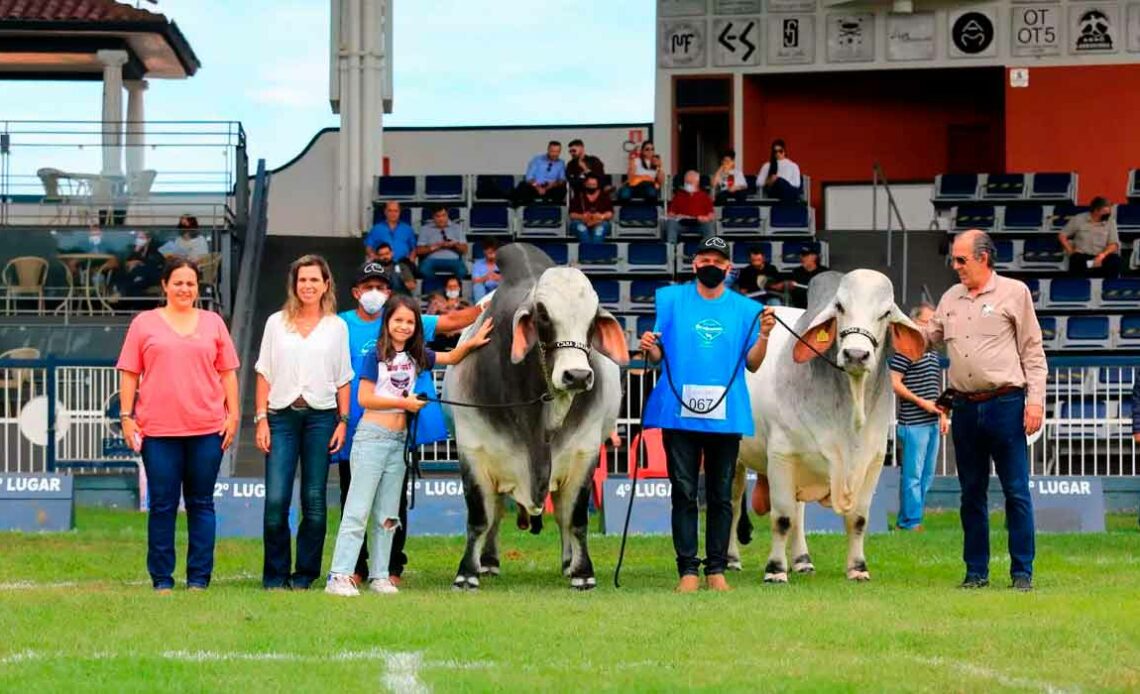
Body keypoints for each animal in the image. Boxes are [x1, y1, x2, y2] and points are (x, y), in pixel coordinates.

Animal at [442, 243, 624, 588]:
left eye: (593, 319)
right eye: (542, 315)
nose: (577, 376)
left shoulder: (584, 453)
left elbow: (574, 518)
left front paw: (582, 572)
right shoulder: (472, 450)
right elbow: (480, 517)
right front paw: (467, 572)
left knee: (562, 518)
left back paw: (567, 562)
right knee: (497, 512)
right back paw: (489, 561)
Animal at [729, 267, 925, 581]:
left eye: (885, 313)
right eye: (840, 307)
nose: (856, 355)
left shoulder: (873, 462)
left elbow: (858, 519)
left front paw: (858, 568)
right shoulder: (781, 455)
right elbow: (781, 518)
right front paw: (775, 570)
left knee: (798, 512)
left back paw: (802, 560)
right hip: (736, 458)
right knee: (734, 506)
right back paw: (732, 559)